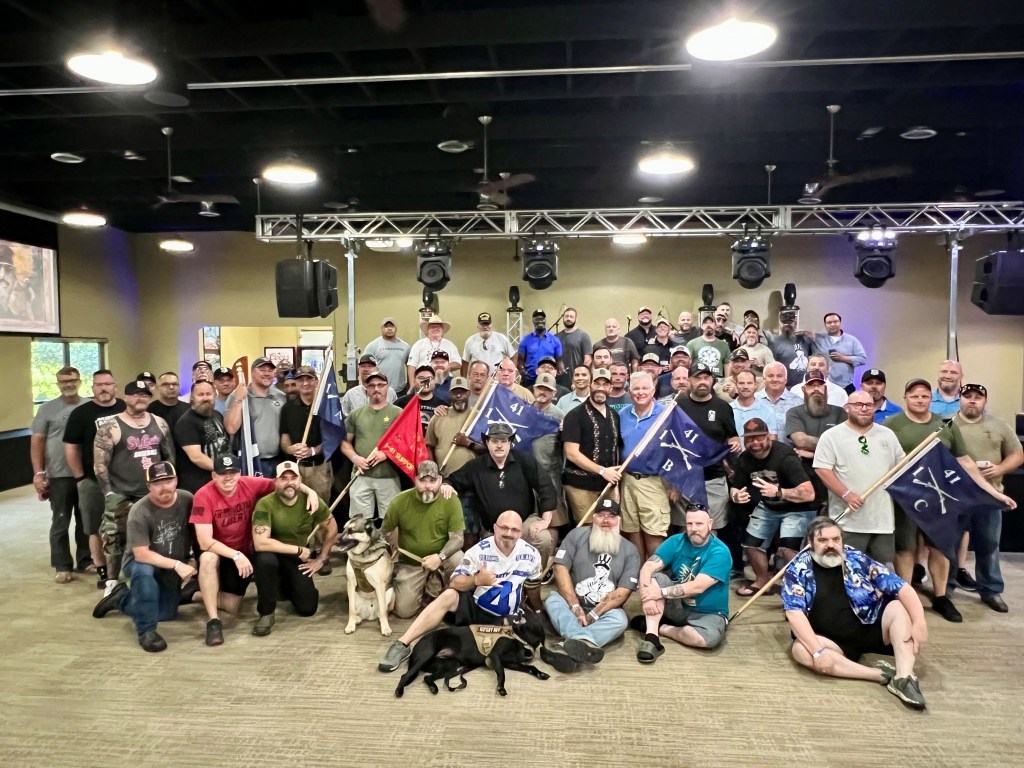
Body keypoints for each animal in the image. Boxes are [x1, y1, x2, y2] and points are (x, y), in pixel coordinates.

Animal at [394, 617, 549, 698]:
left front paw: (541, 674)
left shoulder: (511, 663)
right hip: (426, 655)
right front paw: (501, 688)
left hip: (450, 665)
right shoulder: (495, 657)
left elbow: (531, 667)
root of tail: (415, 647)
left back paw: (433, 688)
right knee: (405, 675)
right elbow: (502, 675)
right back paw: (399, 691)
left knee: (427, 677)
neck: (517, 639)